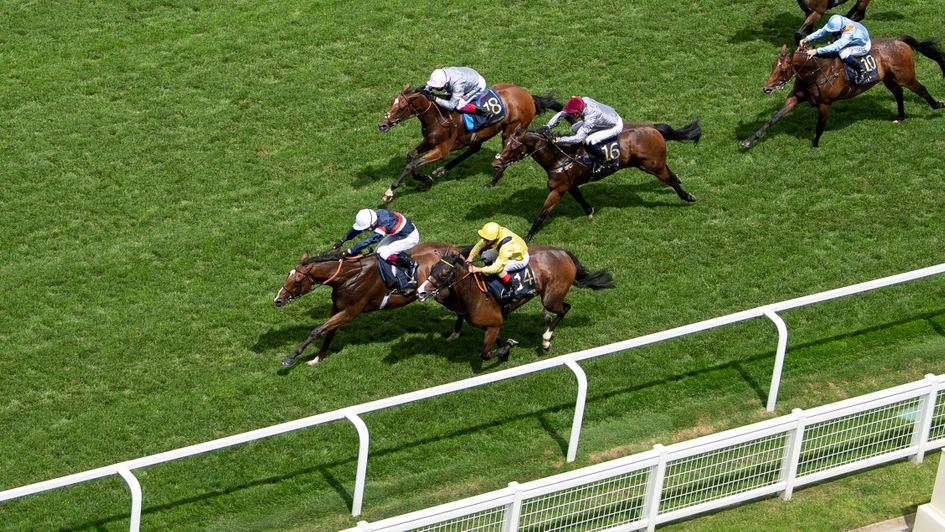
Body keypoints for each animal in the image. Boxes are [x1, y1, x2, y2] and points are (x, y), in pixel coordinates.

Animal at [272, 241, 454, 366]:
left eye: (297, 279)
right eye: (288, 274)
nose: (277, 299)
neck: (348, 277)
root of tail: (453, 248)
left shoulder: (350, 312)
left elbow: (317, 330)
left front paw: (290, 358)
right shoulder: (337, 307)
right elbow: (328, 332)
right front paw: (317, 358)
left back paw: (454, 334)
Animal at [374, 84, 556, 203]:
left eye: (401, 107)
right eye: (391, 102)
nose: (382, 125)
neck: (437, 116)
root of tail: (528, 96)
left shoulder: (441, 150)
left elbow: (411, 164)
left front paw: (390, 191)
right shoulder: (429, 141)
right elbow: (410, 156)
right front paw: (424, 178)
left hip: (511, 131)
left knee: (503, 154)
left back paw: (492, 182)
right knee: (474, 148)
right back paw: (442, 170)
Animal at [416, 245, 616, 362]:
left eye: (444, 274)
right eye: (432, 269)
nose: (420, 292)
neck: (475, 294)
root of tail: (563, 253)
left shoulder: (493, 324)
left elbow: (485, 354)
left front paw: (509, 346)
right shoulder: (493, 324)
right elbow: (496, 342)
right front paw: (505, 350)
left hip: (551, 298)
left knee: (564, 308)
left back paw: (546, 340)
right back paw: (544, 318)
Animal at [490, 120, 696, 241]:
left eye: (513, 147)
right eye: (506, 143)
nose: (495, 163)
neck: (559, 157)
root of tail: (653, 128)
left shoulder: (558, 190)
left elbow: (541, 214)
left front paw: (527, 237)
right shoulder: (570, 185)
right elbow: (581, 199)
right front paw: (590, 212)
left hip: (653, 167)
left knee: (671, 180)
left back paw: (688, 197)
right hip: (655, 165)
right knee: (673, 176)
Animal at [740, 35, 944, 149]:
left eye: (782, 69)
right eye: (772, 65)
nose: (766, 88)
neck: (815, 72)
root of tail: (898, 40)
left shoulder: (825, 103)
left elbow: (820, 125)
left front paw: (815, 145)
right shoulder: (795, 97)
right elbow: (774, 118)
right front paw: (749, 141)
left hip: (905, 76)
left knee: (921, 89)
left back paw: (937, 105)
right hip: (888, 79)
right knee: (898, 93)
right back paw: (900, 117)